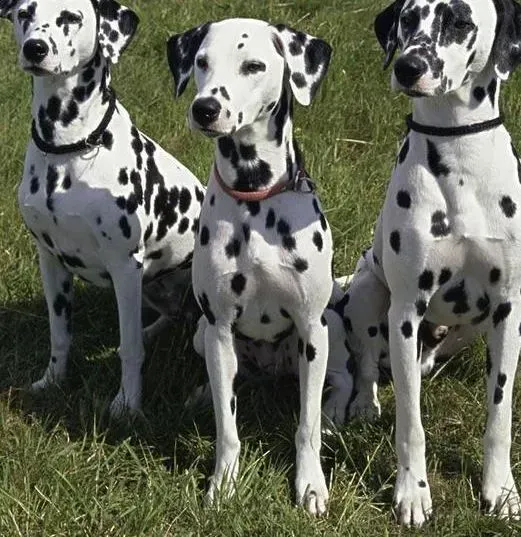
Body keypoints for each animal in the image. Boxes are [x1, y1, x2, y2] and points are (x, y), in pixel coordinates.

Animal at [366, 0, 521, 524]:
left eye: (460, 21)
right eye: (409, 19)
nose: (408, 67)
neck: (459, 156)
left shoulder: (508, 310)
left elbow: (500, 413)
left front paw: (501, 489)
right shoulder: (406, 312)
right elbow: (410, 421)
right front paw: (412, 491)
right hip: (368, 290)